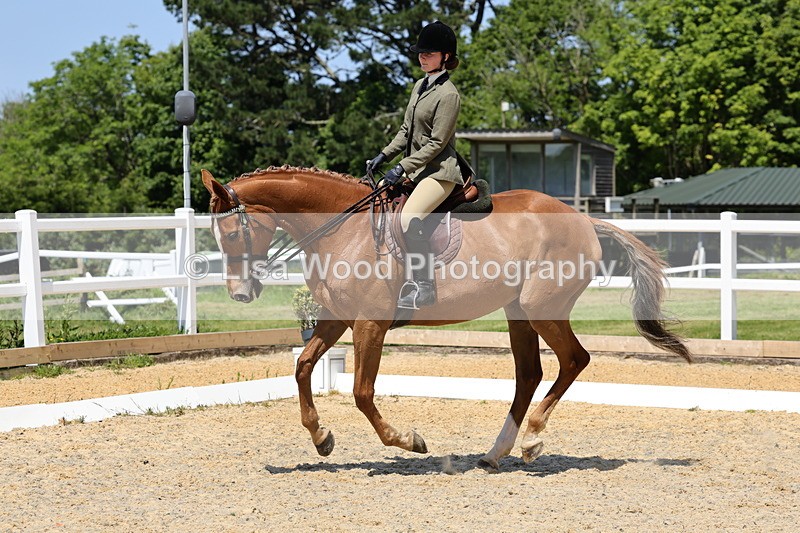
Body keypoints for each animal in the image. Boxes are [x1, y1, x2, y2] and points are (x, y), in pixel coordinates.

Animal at [201, 165, 690, 470]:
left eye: (232, 233)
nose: (241, 294)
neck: (342, 229)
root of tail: (584, 219)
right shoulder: (335, 317)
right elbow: (303, 366)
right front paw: (321, 438)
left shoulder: (369, 323)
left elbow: (361, 392)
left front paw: (408, 441)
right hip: (517, 312)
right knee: (529, 373)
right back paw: (495, 454)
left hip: (541, 309)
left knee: (573, 360)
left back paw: (532, 440)